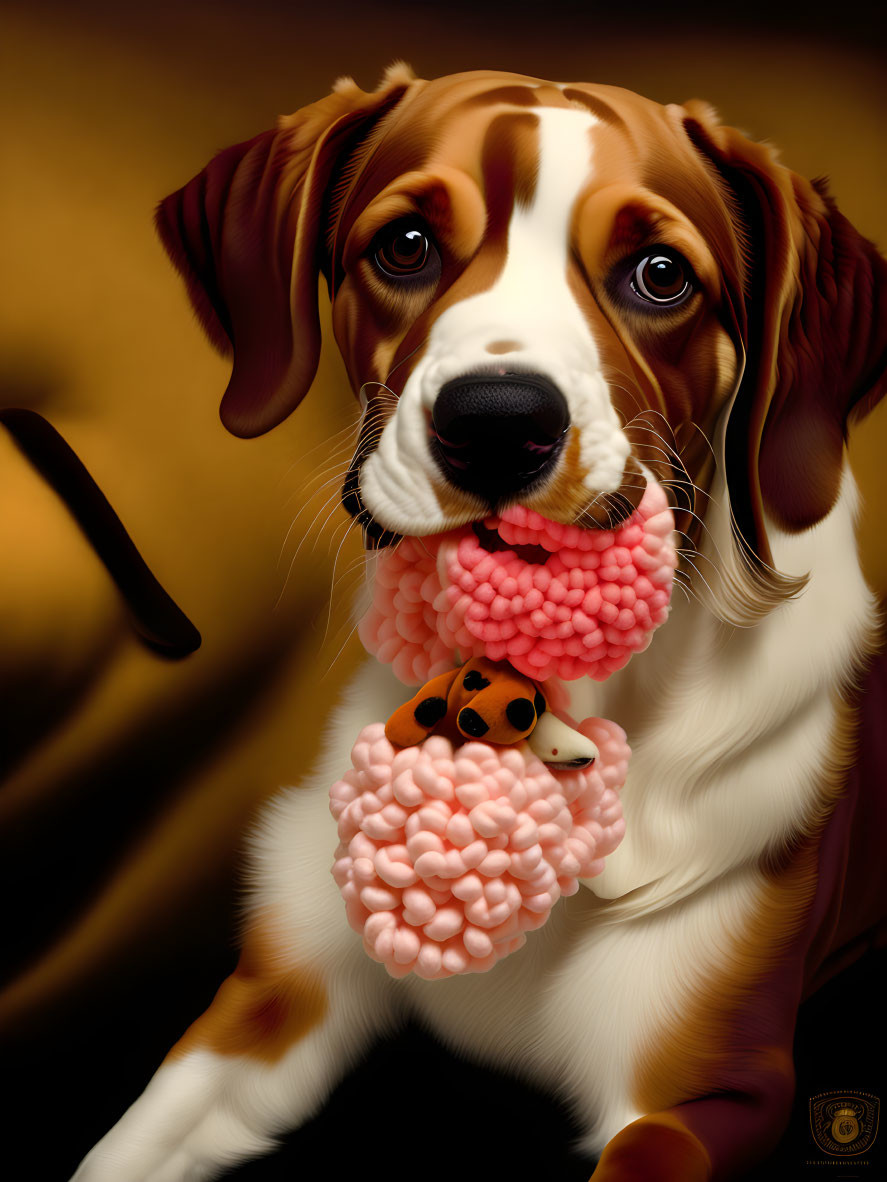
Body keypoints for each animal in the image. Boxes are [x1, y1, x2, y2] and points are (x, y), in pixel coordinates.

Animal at [71, 62, 887, 1182]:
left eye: (660, 275)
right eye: (405, 245)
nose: (498, 422)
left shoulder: (699, 1100)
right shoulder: (274, 998)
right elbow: (127, 1148)